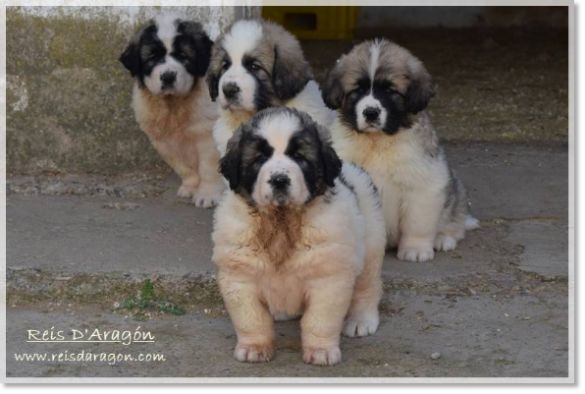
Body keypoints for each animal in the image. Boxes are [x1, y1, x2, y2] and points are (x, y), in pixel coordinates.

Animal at [120, 14, 225, 208]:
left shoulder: (208, 137)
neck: (173, 105)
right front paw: (190, 186)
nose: (168, 76)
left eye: (183, 56)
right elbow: (183, 167)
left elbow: (208, 168)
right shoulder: (164, 142)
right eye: (152, 58)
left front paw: (207, 195)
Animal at [212, 107, 386, 366]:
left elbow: (320, 320)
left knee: (368, 286)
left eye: (299, 157)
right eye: (259, 158)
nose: (279, 180)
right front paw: (254, 347)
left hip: (371, 244)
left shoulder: (328, 277)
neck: (282, 223)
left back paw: (361, 321)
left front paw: (321, 351)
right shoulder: (240, 276)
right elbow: (251, 318)